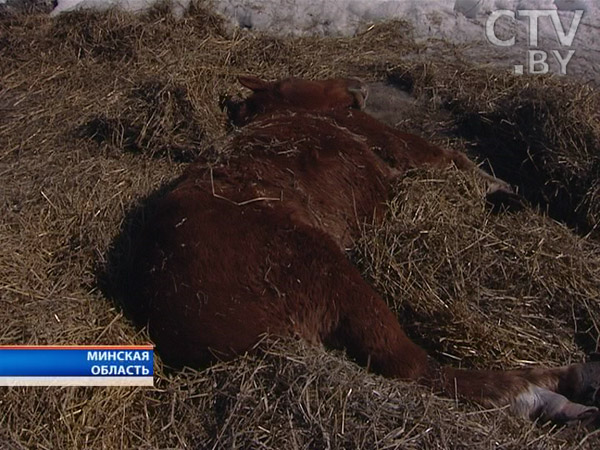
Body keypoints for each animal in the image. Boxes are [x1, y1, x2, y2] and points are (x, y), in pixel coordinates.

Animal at [120, 76, 600, 426]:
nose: (359, 89)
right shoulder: (399, 153)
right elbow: (463, 167)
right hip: (334, 275)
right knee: (422, 370)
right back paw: (568, 386)